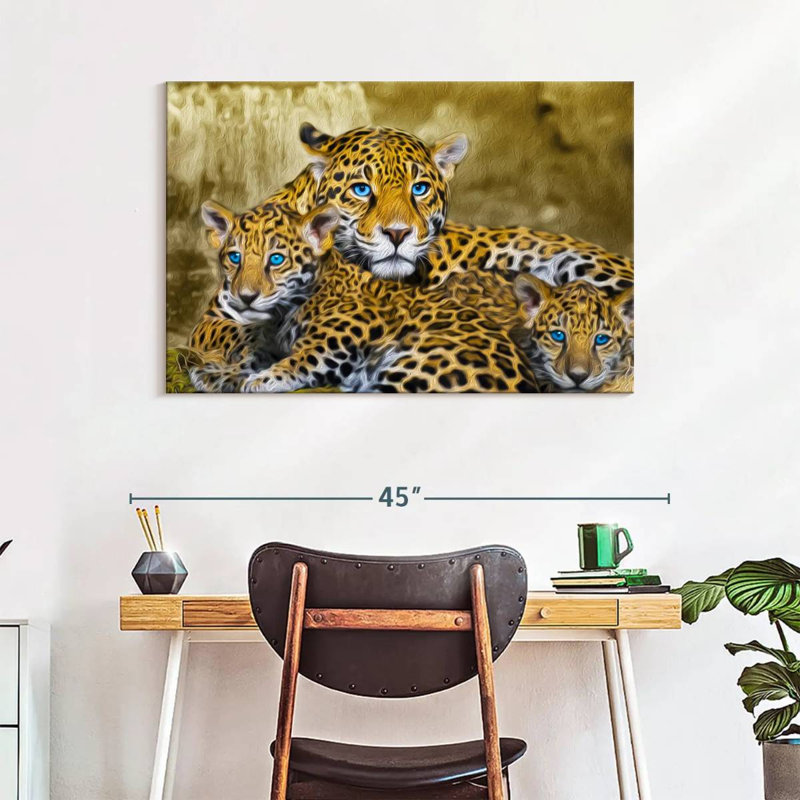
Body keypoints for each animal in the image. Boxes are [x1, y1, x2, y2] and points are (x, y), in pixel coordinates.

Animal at [190, 201, 538, 393]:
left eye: (276, 259)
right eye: (234, 257)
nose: (245, 297)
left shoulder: (341, 337)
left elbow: (303, 359)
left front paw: (264, 379)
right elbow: (251, 356)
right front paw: (215, 374)